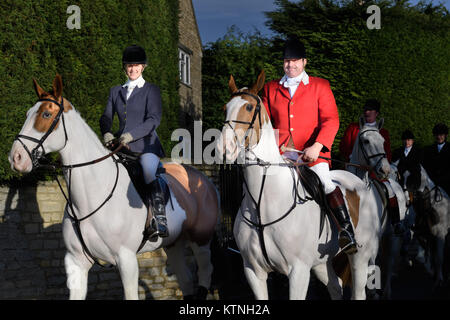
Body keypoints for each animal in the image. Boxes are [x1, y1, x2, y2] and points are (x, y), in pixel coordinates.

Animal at [7, 75, 218, 300]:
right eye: (27, 114)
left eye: (46, 114)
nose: (16, 157)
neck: (92, 194)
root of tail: (203, 180)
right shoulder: (75, 262)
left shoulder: (127, 260)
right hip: (173, 243)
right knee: (185, 278)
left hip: (201, 240)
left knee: (205, 272)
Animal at [216, 70, 384, 300]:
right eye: (225, 108)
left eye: (249, 107)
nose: (224, 149)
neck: (262, 200)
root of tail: (362, 182)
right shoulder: (253, 271)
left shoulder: (299, 271)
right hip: (322, 263)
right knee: (336, 287)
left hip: (360, 255)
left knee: (358, 291)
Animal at [344, 118, 408, 300]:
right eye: (366, 141)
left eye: (383, 141)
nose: (384, 170)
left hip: (393, 236)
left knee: (389, 260)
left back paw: (386, 290)